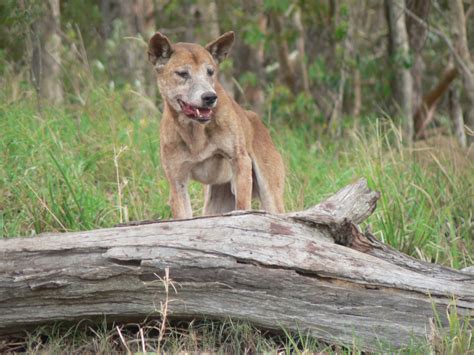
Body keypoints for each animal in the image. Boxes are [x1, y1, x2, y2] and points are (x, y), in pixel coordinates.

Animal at [147, 31, 286, 220]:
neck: (195, 134)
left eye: (210, 72)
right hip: (215, 206)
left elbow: (242, 208)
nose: (209, 97)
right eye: (183, 73)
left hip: (271, 195)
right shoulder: (177, 181)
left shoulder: (240, 160)